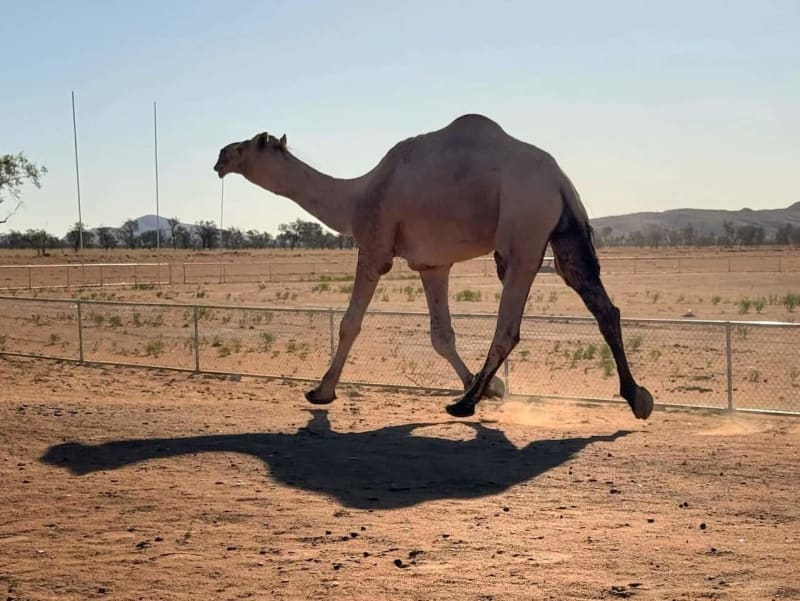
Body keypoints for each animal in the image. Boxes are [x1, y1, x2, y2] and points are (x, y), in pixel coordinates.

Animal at [213, 114, 653, 420]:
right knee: (601, 304)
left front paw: (321, 391)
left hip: (522, 228)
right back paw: (638, 399)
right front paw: (490, 388)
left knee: (508, 326)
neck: (355, 197)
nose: (219, 156)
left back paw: (464, 404)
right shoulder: (431, 264)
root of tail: (560, 180)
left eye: (248, 145)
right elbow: (442, 336)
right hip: (566, 233)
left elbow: (350, 323)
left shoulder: (374, 246)